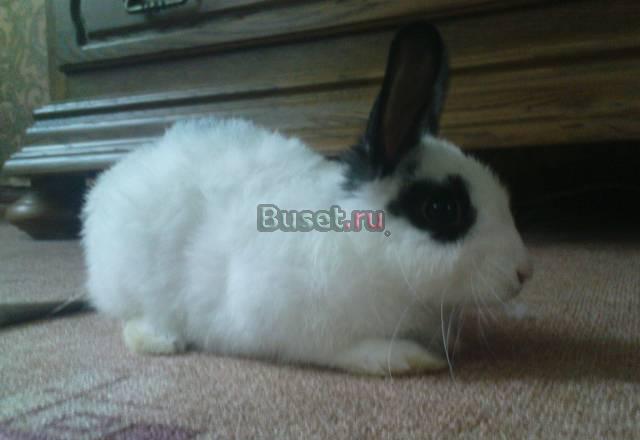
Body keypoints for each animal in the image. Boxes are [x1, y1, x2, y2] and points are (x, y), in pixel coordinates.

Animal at [82, 22, 533, 376]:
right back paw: (160, 341)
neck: (359, 245)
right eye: (441, 208)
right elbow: (342, 350)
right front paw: (409, 358)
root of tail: (107, 184)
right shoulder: (285, 322)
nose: (524, 272)